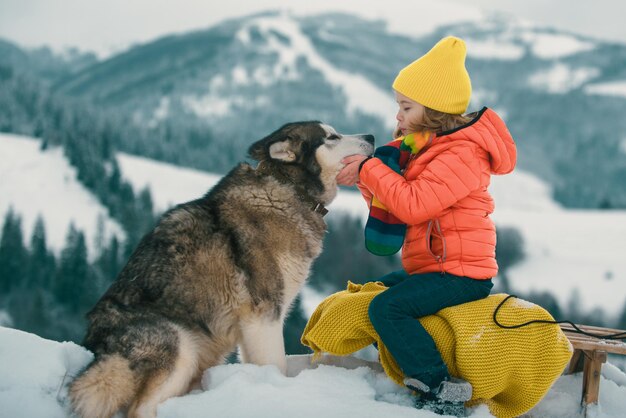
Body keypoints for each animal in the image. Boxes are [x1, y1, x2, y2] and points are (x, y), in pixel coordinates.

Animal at [69, 121, 370, 418]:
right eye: (332, 137)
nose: (371, 136)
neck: (289, 188)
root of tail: (95, 346)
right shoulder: (264, 315)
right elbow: (277, 365)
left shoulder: (253, 327)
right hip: (181, 345)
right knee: (140, 409)